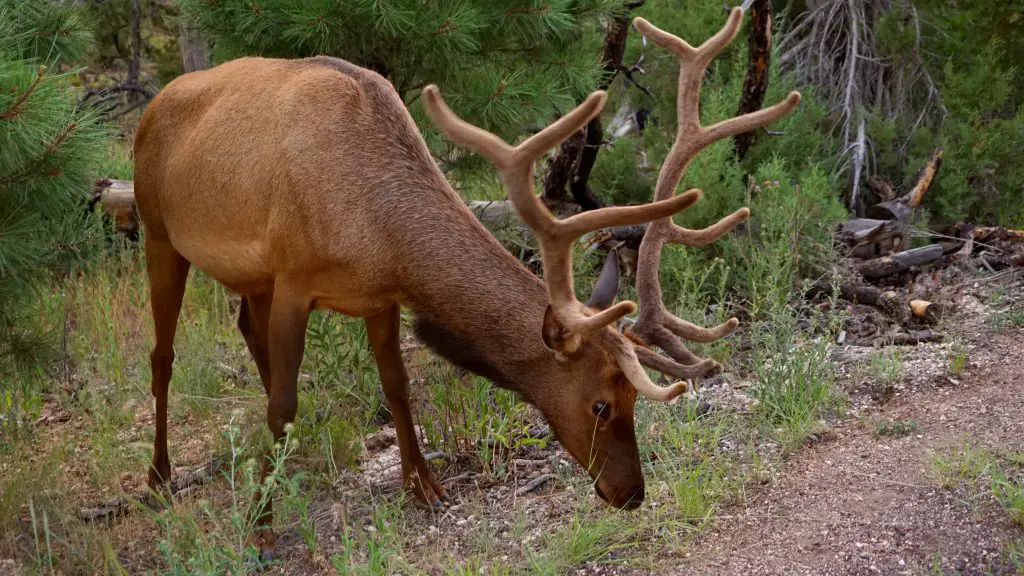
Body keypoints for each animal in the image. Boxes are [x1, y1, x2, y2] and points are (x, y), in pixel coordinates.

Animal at [132, 7, 794, 557]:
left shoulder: (376, 294)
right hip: (158, 229)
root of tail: (152, 105)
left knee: (246, 325)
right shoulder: (295, 277)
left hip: (250, 274)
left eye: (633, 399)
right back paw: (160, 477)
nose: (630, 493)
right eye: (601, 403)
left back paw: (286, 461)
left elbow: (396, 386)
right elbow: (285, 403)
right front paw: (262, 528)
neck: (376, 228)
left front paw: (424, 485)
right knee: (162, 354)